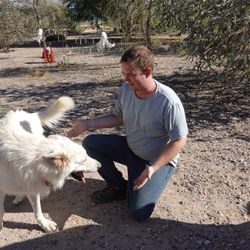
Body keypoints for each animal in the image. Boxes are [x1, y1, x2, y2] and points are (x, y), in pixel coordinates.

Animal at [0, 96, 99, 232]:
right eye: (83, 160)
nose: (100, 165)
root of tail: (30, 114)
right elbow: (1, 210)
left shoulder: (32, 186)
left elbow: (37, 210)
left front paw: (44, 224)